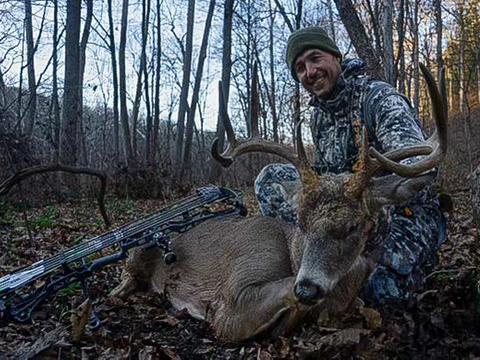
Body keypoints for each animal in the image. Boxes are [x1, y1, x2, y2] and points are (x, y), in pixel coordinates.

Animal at [112, 63, 446, 342]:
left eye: (354, 226)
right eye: (301, 223)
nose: (308, 287)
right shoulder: (232, 304)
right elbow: (278, 299)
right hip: (138, 253)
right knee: (125, 276)